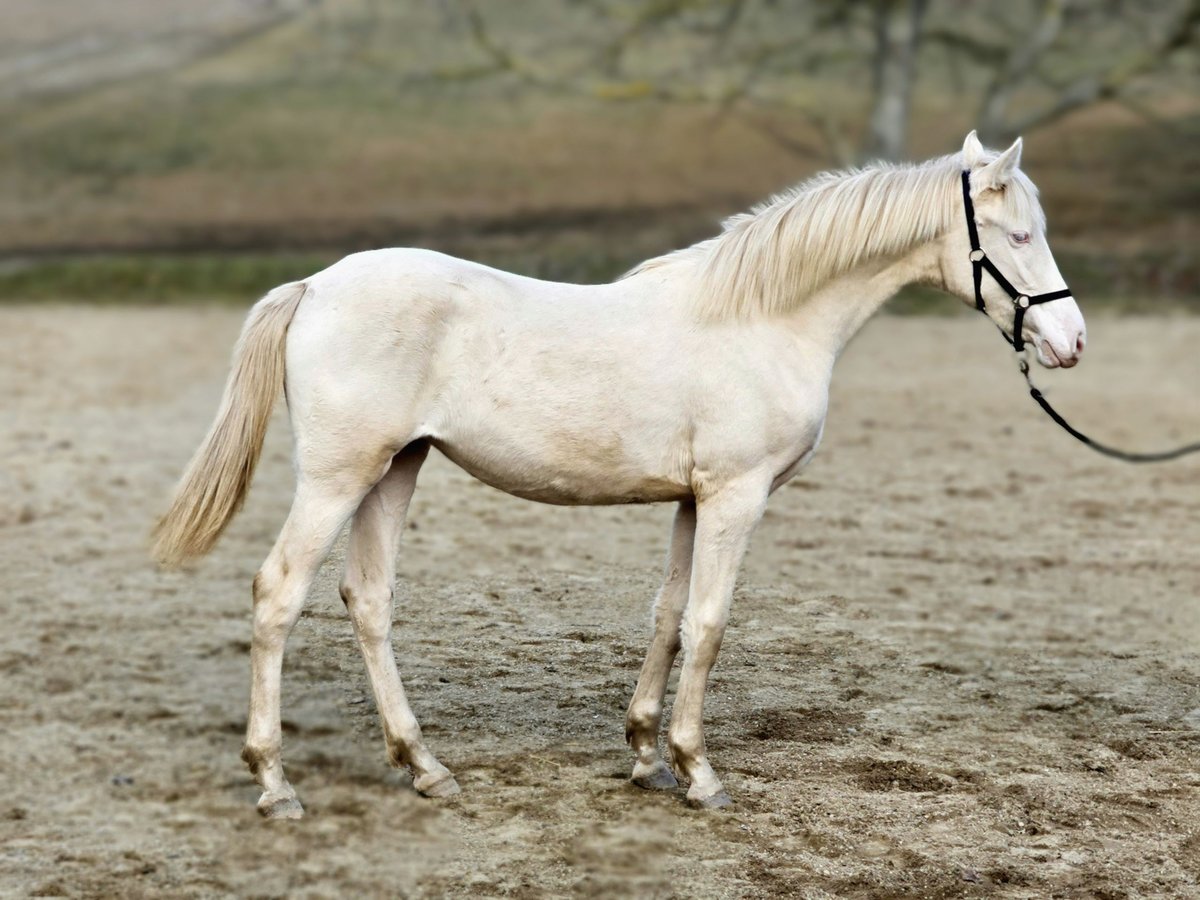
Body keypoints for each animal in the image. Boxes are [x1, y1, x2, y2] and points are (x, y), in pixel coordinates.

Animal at [152, 132, 1089, 816]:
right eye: (1018, 236)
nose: (1070, 341)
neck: (762, 319)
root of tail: (315, 285)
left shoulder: (692, 501)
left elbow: (669, 616)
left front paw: (644, 752)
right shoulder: (736, 496)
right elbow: (710, 622)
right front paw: (699, 771)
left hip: (395, 470)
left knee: (368, 600)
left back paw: (425, 766)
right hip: (340, 475)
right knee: (279, 592)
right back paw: (275, 781)